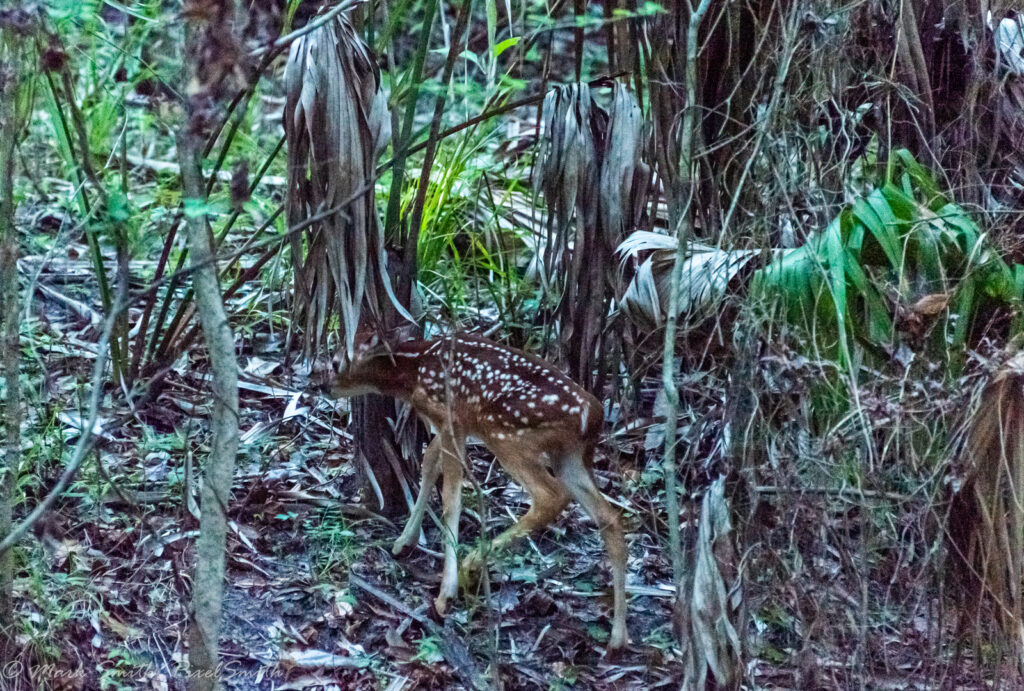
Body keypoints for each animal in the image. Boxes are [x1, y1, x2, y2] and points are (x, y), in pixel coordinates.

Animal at [315, 327, 626, 646]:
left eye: (337, 361)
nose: (323, 386)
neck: (412, 372)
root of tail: (593, 415)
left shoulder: (450, 416)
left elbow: (451, 499)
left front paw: (445, 594)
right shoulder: (451, 425)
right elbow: (429, 462)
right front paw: (404, 541)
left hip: (505, 432)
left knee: (551, 496)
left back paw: (472, 562)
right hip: (569, 457)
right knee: (610, 517)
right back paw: (618, 638)